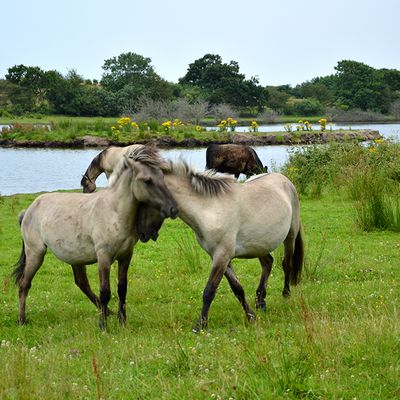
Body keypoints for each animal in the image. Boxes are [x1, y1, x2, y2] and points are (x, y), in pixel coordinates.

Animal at [12, 145, 178, 330]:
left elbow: (122, 289)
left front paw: (122, 322)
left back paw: (108, 312)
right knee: (24, 284)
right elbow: (105, 291)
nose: (173, 209)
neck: (114, 212)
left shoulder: (126, 256)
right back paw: (22, 320)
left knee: (81, 282)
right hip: (36, 253)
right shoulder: (104, 257)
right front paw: (103, 327)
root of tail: (28, 210)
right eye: (147, 181)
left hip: (74, 257)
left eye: (162, 177)